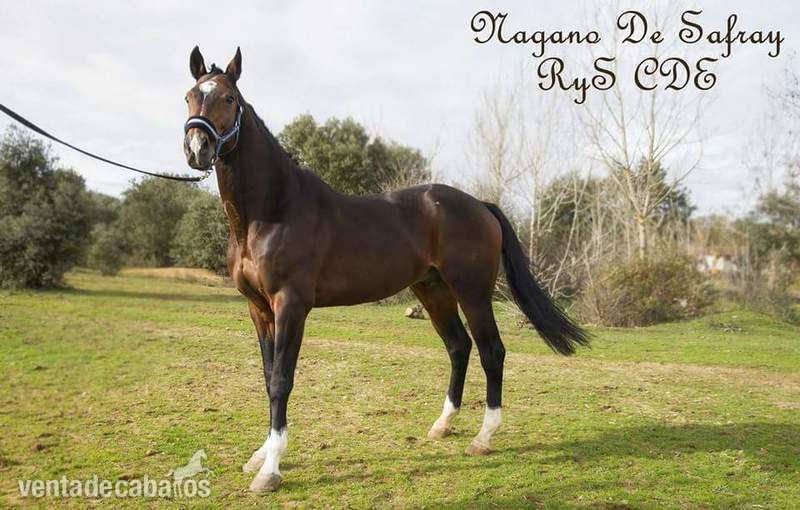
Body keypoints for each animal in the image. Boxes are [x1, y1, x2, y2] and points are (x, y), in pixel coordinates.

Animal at [181, 47, 589, 493]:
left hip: (473, 292)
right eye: (189, 96)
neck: (272, 211)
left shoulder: (291, 306)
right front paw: (259, 457)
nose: (198, 147)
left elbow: (281, 381)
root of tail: (481, 205)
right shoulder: (258, 309)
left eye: (228, 98)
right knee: (459, 347)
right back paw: (443, 425)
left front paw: (270, 470)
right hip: (434, 291)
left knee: (491, 351)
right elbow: (268, 375)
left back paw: (483, 438)